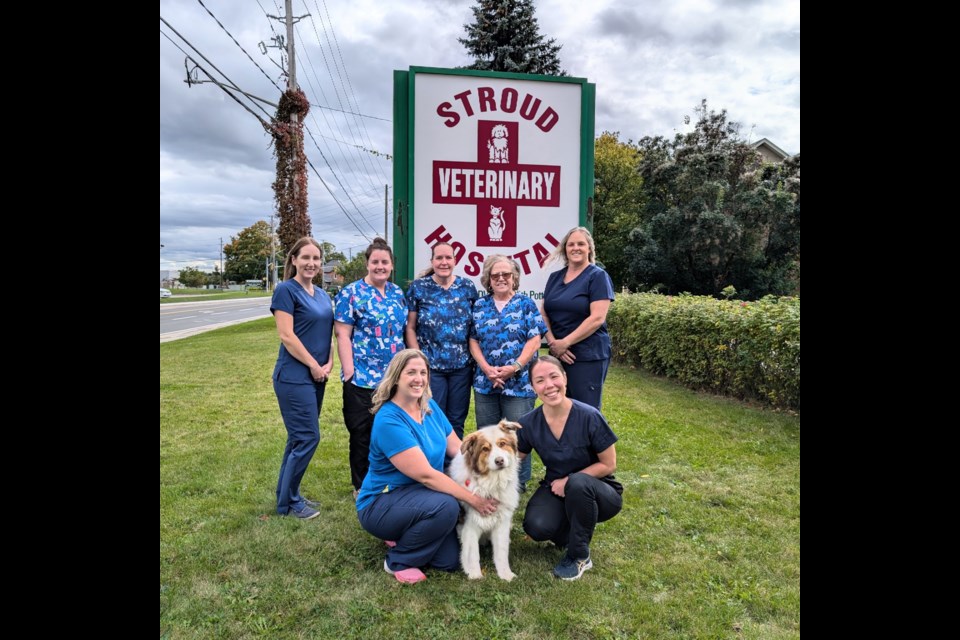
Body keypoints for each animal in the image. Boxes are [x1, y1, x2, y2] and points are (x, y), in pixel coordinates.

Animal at [446, 420, 520, 580]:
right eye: (485, 449)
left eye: (502, 444)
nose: (499, 461)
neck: (492, 483)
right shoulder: (470, 525)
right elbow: (473, 554)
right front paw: (475, 575)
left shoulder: (502, 523)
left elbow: (501, 552)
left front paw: (506, 575)